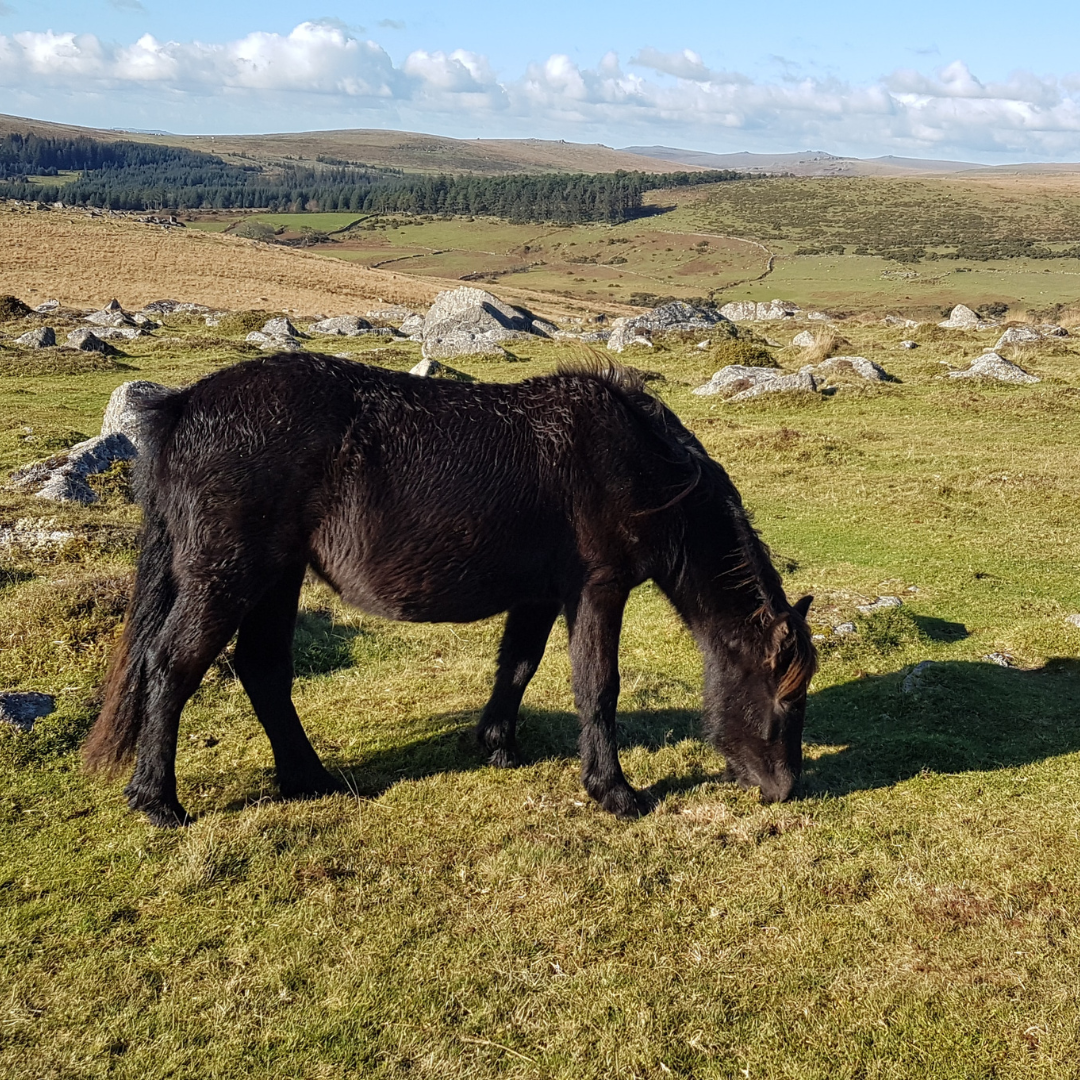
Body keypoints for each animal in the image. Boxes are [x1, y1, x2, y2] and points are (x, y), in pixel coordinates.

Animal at [83, 354, 816, 827]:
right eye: (783, 698)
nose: (783, 790)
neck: (641, 463)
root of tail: (183, 406)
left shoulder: (540, 594)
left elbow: (518, 666)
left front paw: (497, 745)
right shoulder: (598, 589)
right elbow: (597, 686)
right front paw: (614, 792)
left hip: (276, 576)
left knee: (262, 669)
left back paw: (310, 780)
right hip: (228, 577)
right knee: (172, 666)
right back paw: (157, 801)